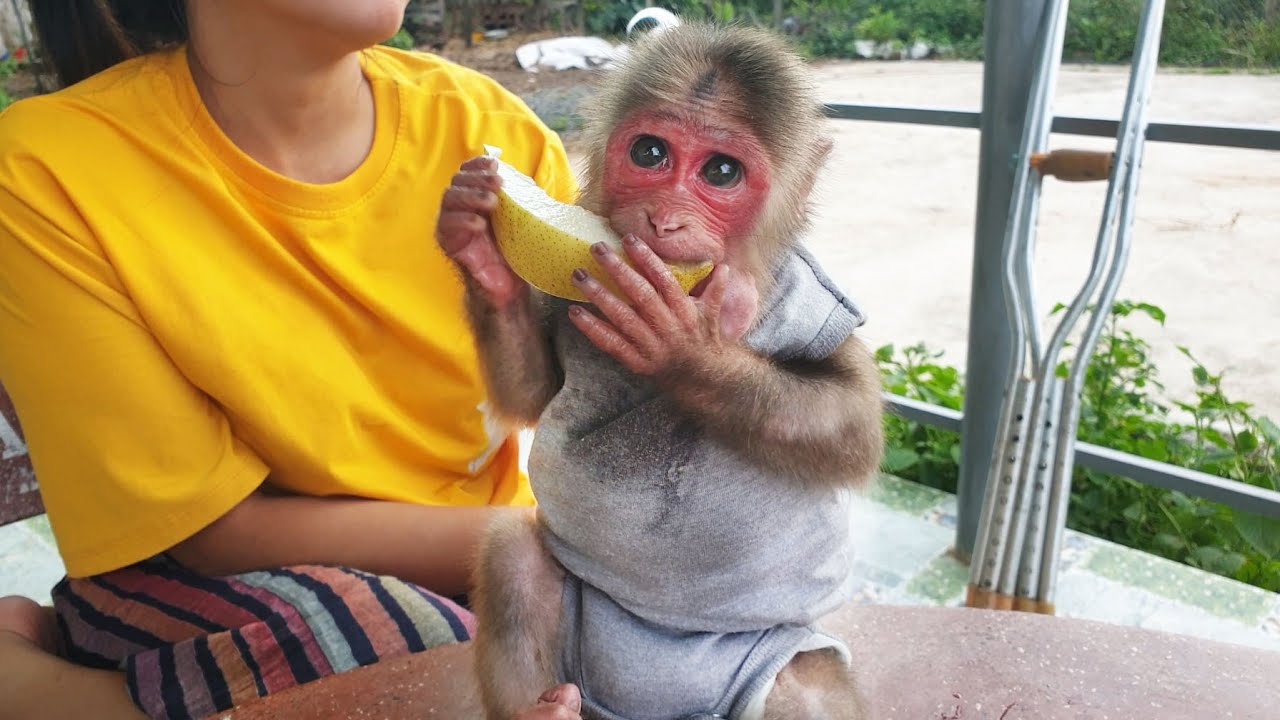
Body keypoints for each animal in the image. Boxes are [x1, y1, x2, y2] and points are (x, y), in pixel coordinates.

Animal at [436, 21, 884, 720]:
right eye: (650, 154)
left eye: (721, 171)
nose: (663, 219)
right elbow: (534, 394)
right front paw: (479, 250)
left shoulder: (816, 301)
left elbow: (852, 429)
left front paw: (687, 350)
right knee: (513, 557)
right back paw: (546, 707)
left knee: (803, 677)